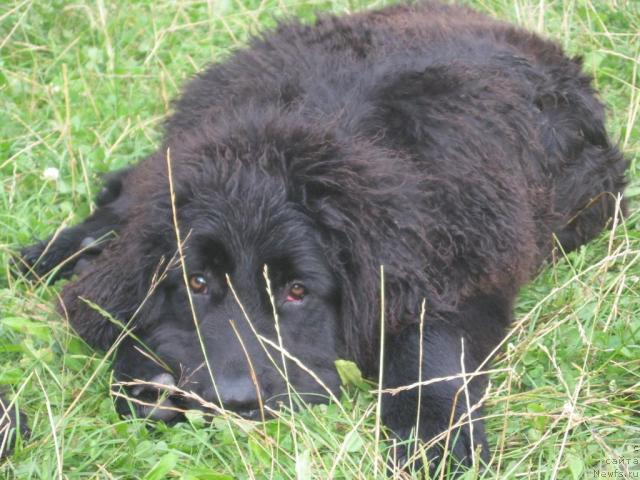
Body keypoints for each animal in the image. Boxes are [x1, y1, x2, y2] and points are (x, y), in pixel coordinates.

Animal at [17, 0, 628, 472]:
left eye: (297, 292)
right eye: (196, 283)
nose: (235, 402)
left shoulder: (460, 271)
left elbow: (428, 352)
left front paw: (436, 444)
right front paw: (147, 377)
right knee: (125, 196)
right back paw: (49, 254)